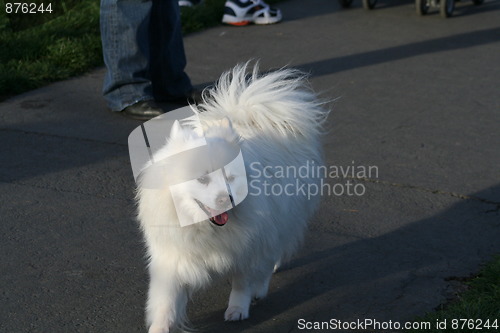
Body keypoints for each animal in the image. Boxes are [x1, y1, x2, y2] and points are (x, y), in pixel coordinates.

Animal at [137, 63, 328, 330]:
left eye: (230, 178)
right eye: (202, 179)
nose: (225, 199)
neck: (205, 229)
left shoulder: (248, 246)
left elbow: (241, 282)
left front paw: (237, 309)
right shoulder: (173, 258)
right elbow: (166, 302)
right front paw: (160, 327)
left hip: (280, 220)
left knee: (270, 257)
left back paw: (261, 287)